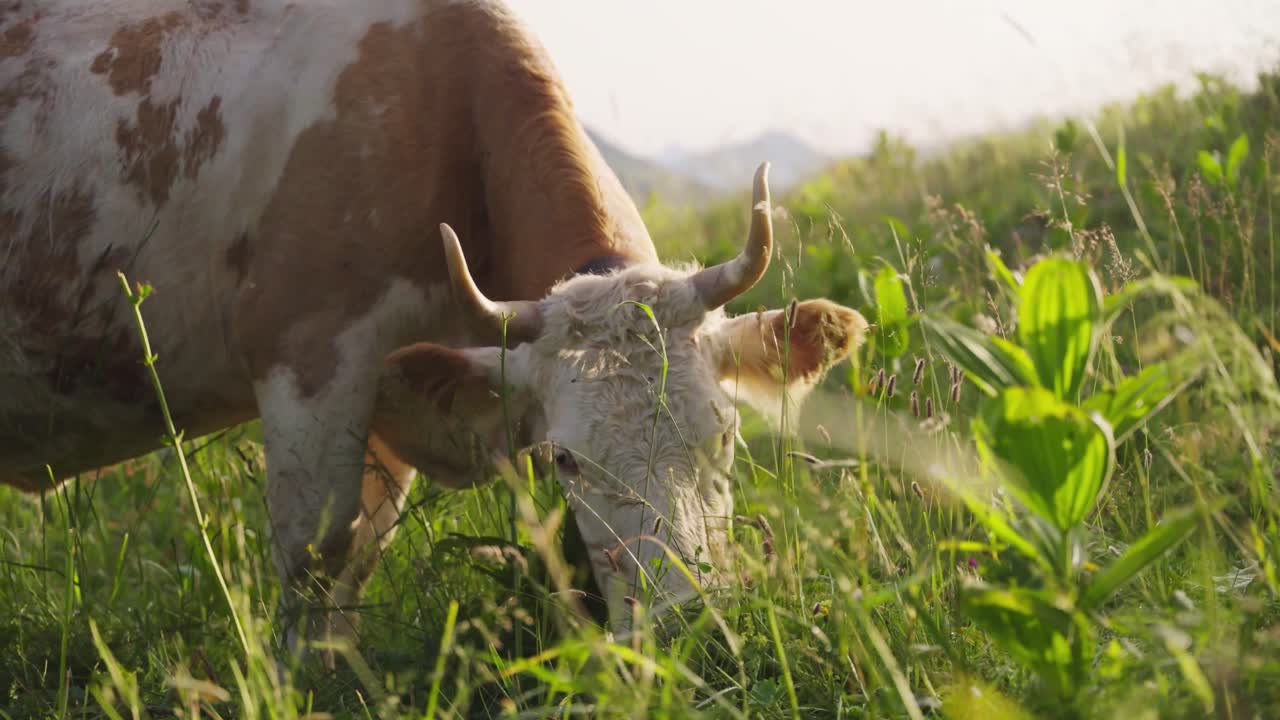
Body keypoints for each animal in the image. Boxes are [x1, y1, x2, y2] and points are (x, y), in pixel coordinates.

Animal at [0, 0, 867, 660]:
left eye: (724, 434)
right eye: (564, 460)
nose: (683, 624)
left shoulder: (395, 385)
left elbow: (360, 553)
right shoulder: (307, 355)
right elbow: (314, 549)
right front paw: (302, 679)